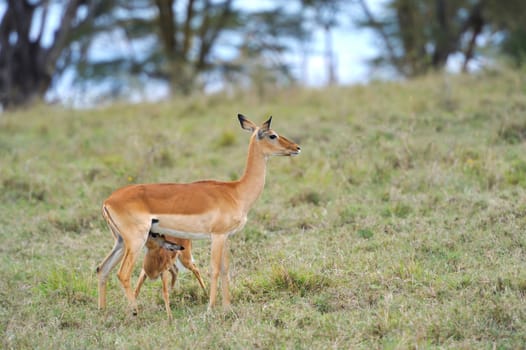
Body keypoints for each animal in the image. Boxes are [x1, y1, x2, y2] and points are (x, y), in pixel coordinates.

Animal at [98, 115, 302, 314]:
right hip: (135, 241)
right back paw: (135, 312)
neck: (236, 192)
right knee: (123, 273)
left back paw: (103, 312)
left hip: (121, 242)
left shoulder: (226, 237)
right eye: (272, 135)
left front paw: (227, 308)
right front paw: (210, 309)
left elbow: (225, 269)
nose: (296, 148)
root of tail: (107, 201)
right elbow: (214, 269)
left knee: (102, 268)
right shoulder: (217, 235)